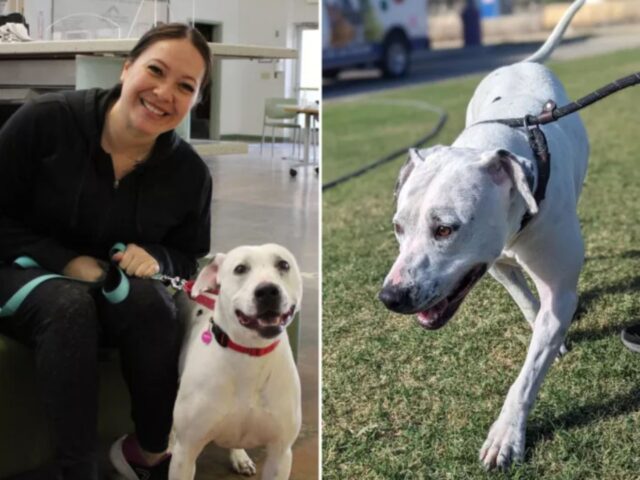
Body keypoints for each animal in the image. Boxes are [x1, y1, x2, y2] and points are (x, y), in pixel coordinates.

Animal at [171, 246, 304, 478]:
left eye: (283, 264)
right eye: (240, 268)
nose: (267, 291)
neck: (249, 354)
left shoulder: (280, 453)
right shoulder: (185, 452)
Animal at [380, 0, 592, 472]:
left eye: (445, 229)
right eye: (398, 227)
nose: (391, 296)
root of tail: (521, 62)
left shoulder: (559, 289)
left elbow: (526, 376)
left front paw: (506, 435)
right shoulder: (496, 265)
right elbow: (528, 304)